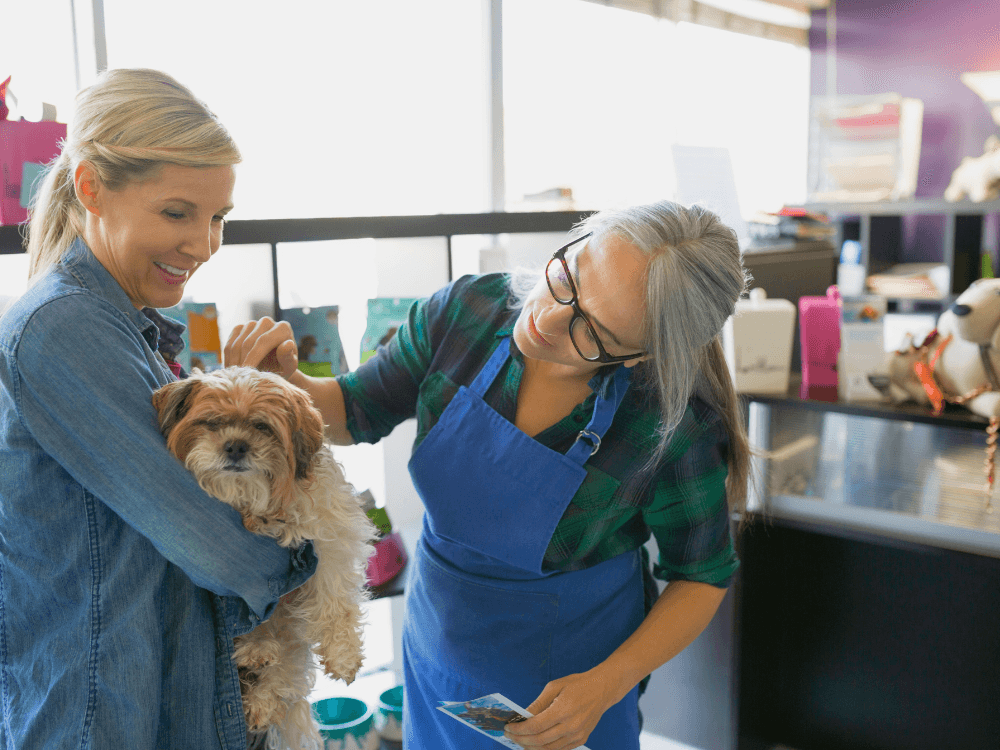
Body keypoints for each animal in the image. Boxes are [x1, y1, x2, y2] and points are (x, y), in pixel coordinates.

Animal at [152, 368, 376, 748]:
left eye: (262, 426)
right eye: (212, 423)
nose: (236, 445)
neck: (254, 506)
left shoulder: (330, 533)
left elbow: (334, 598)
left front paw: (343, 654)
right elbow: (256, 612)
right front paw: (257, 644)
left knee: (289, 667)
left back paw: (264, 697)